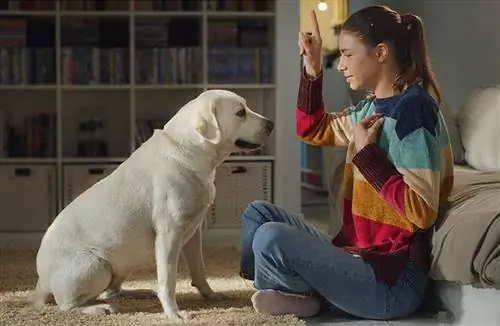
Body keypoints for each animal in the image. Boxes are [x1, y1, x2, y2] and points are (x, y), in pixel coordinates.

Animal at [32, 88, 274, 320]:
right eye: (240, 113)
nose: (271, 124)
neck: (189, 150)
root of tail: (41, 282)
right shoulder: (169, 234)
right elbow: (168, 280)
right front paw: (174, 314)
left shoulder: (193, 233)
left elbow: (199, 270)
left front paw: (210, 295)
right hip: (97, 266)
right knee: (68, 305)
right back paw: (98, 309)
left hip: (122, 264)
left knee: (112, 291)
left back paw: (139, 292)